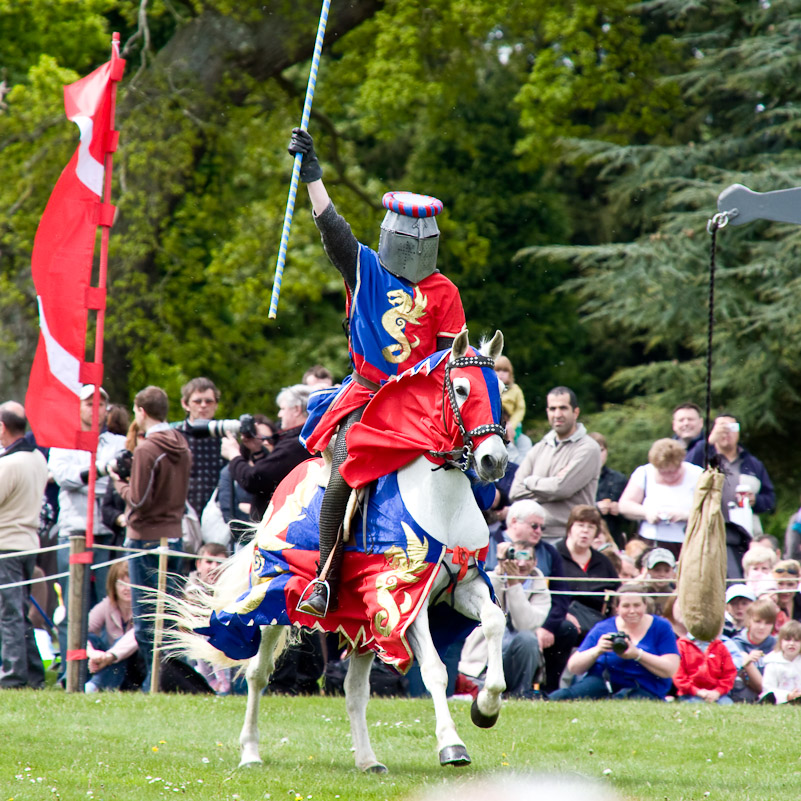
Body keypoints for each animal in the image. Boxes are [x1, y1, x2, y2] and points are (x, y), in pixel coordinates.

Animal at [168, 330, 506, 768]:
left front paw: (486, 707)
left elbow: (495, 621)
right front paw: (452, 744)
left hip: (363, 622)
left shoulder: (458, 587)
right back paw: (251, 752)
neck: (438, 498)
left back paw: (367, 760)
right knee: (258, 674)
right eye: (462, 390)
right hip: (272, 595)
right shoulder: (402, 598)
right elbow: (435, 670)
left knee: (354, 689)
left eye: (499, 390)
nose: (494, 460)